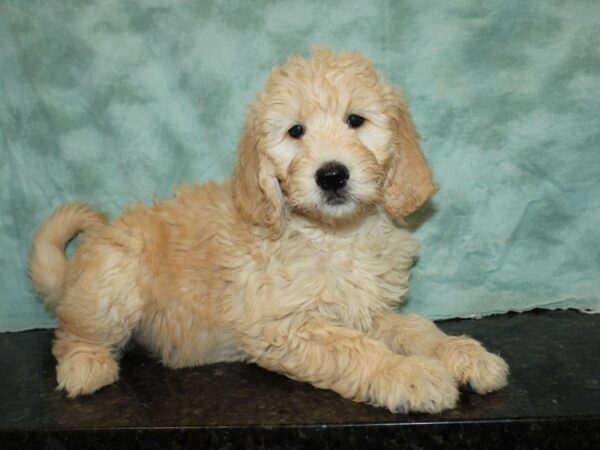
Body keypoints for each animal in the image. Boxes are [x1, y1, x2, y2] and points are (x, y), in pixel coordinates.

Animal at [28, 50, 506, 414]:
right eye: (295, 131)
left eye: (356, 120)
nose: (331, 175)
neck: (333, 235)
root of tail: (75, 270)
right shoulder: (281, 327)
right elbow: (357, 349)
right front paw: (410, 373)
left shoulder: (368, 310)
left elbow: (415, 328)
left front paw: (462, 354)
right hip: (114, 282)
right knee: (71, 333)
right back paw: (86, 365)